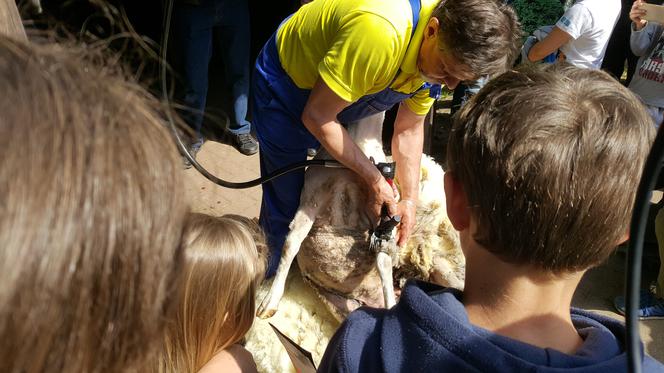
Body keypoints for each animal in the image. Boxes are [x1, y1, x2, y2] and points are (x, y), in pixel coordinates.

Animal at [256, 110, 464, 320]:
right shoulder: (310, 199)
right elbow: (290, 245)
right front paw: (270, 302)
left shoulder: (382, 216)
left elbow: (383, 261)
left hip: (444, 266)